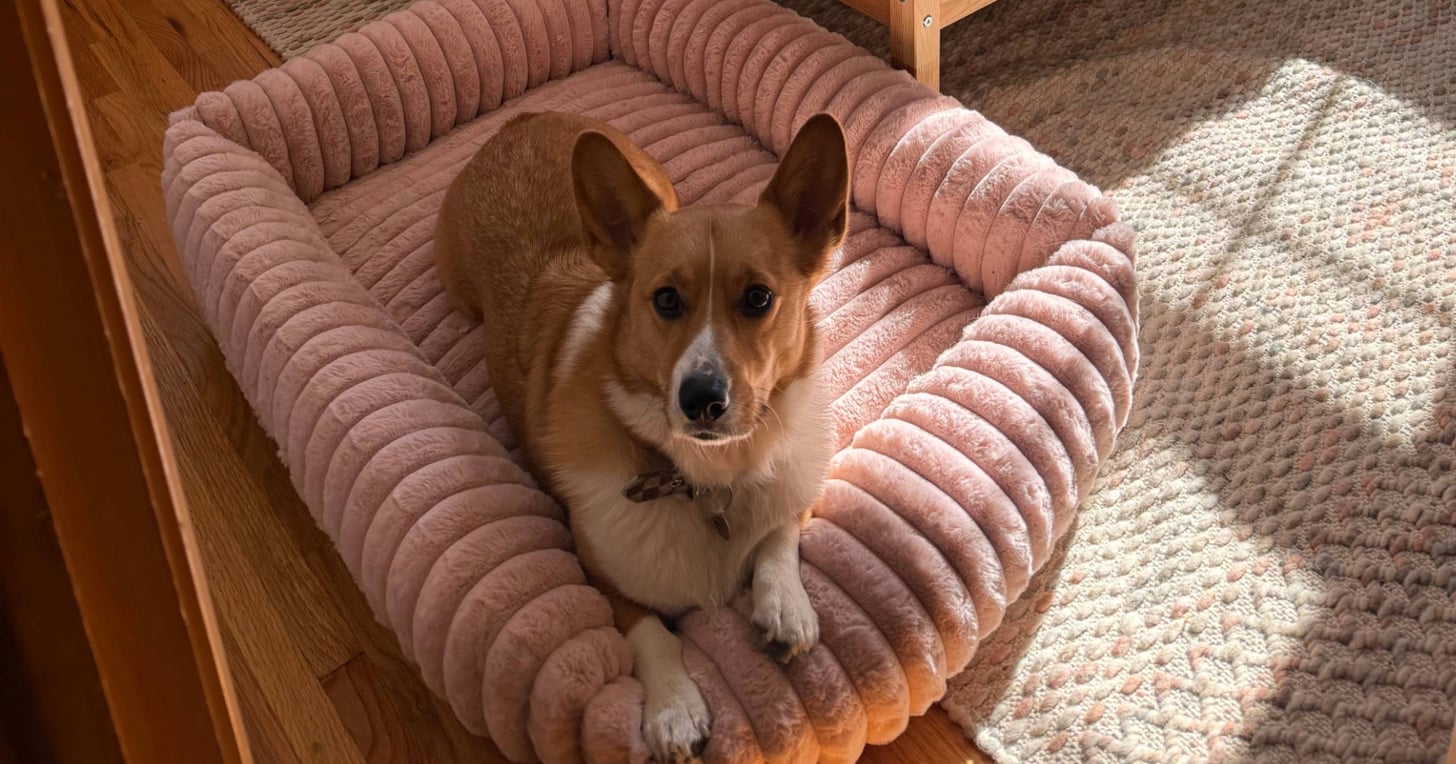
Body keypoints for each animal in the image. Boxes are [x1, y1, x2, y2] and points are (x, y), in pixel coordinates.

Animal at [430, 109, 850, 756]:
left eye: (758, 298)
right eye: (666, 299)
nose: (702, 400)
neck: (710, 475)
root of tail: (523, 118)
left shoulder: (794, 487)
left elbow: (778, 536)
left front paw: (785, 606)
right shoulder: (599, 573)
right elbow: (651, 630)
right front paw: (674, 708)